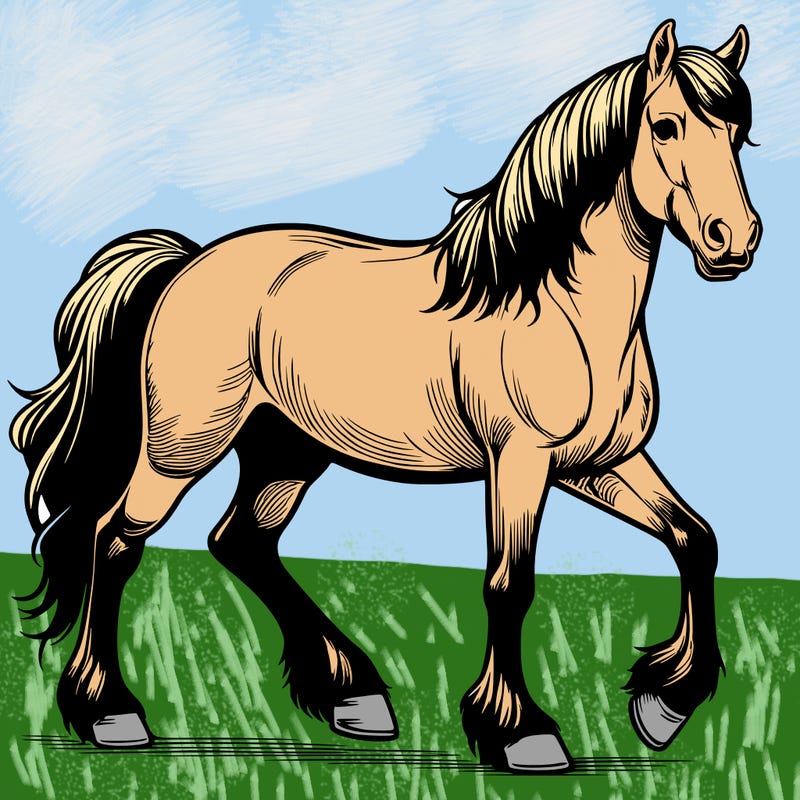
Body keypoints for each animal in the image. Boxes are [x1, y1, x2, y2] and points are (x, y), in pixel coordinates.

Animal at [11, 20, 760, 773]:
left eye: (738, 131)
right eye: (664, 126)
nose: (735, 240)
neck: (557, 307)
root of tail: (188, 263)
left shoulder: (599, 463)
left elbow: (696, 539)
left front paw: (664, 705)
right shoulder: (520, 463)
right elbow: (509, 585)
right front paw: (522, 733)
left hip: (286, 452)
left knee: (242, 542)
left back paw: (354, 696)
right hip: (182, 447)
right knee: (115, 541)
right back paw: (111, 714)